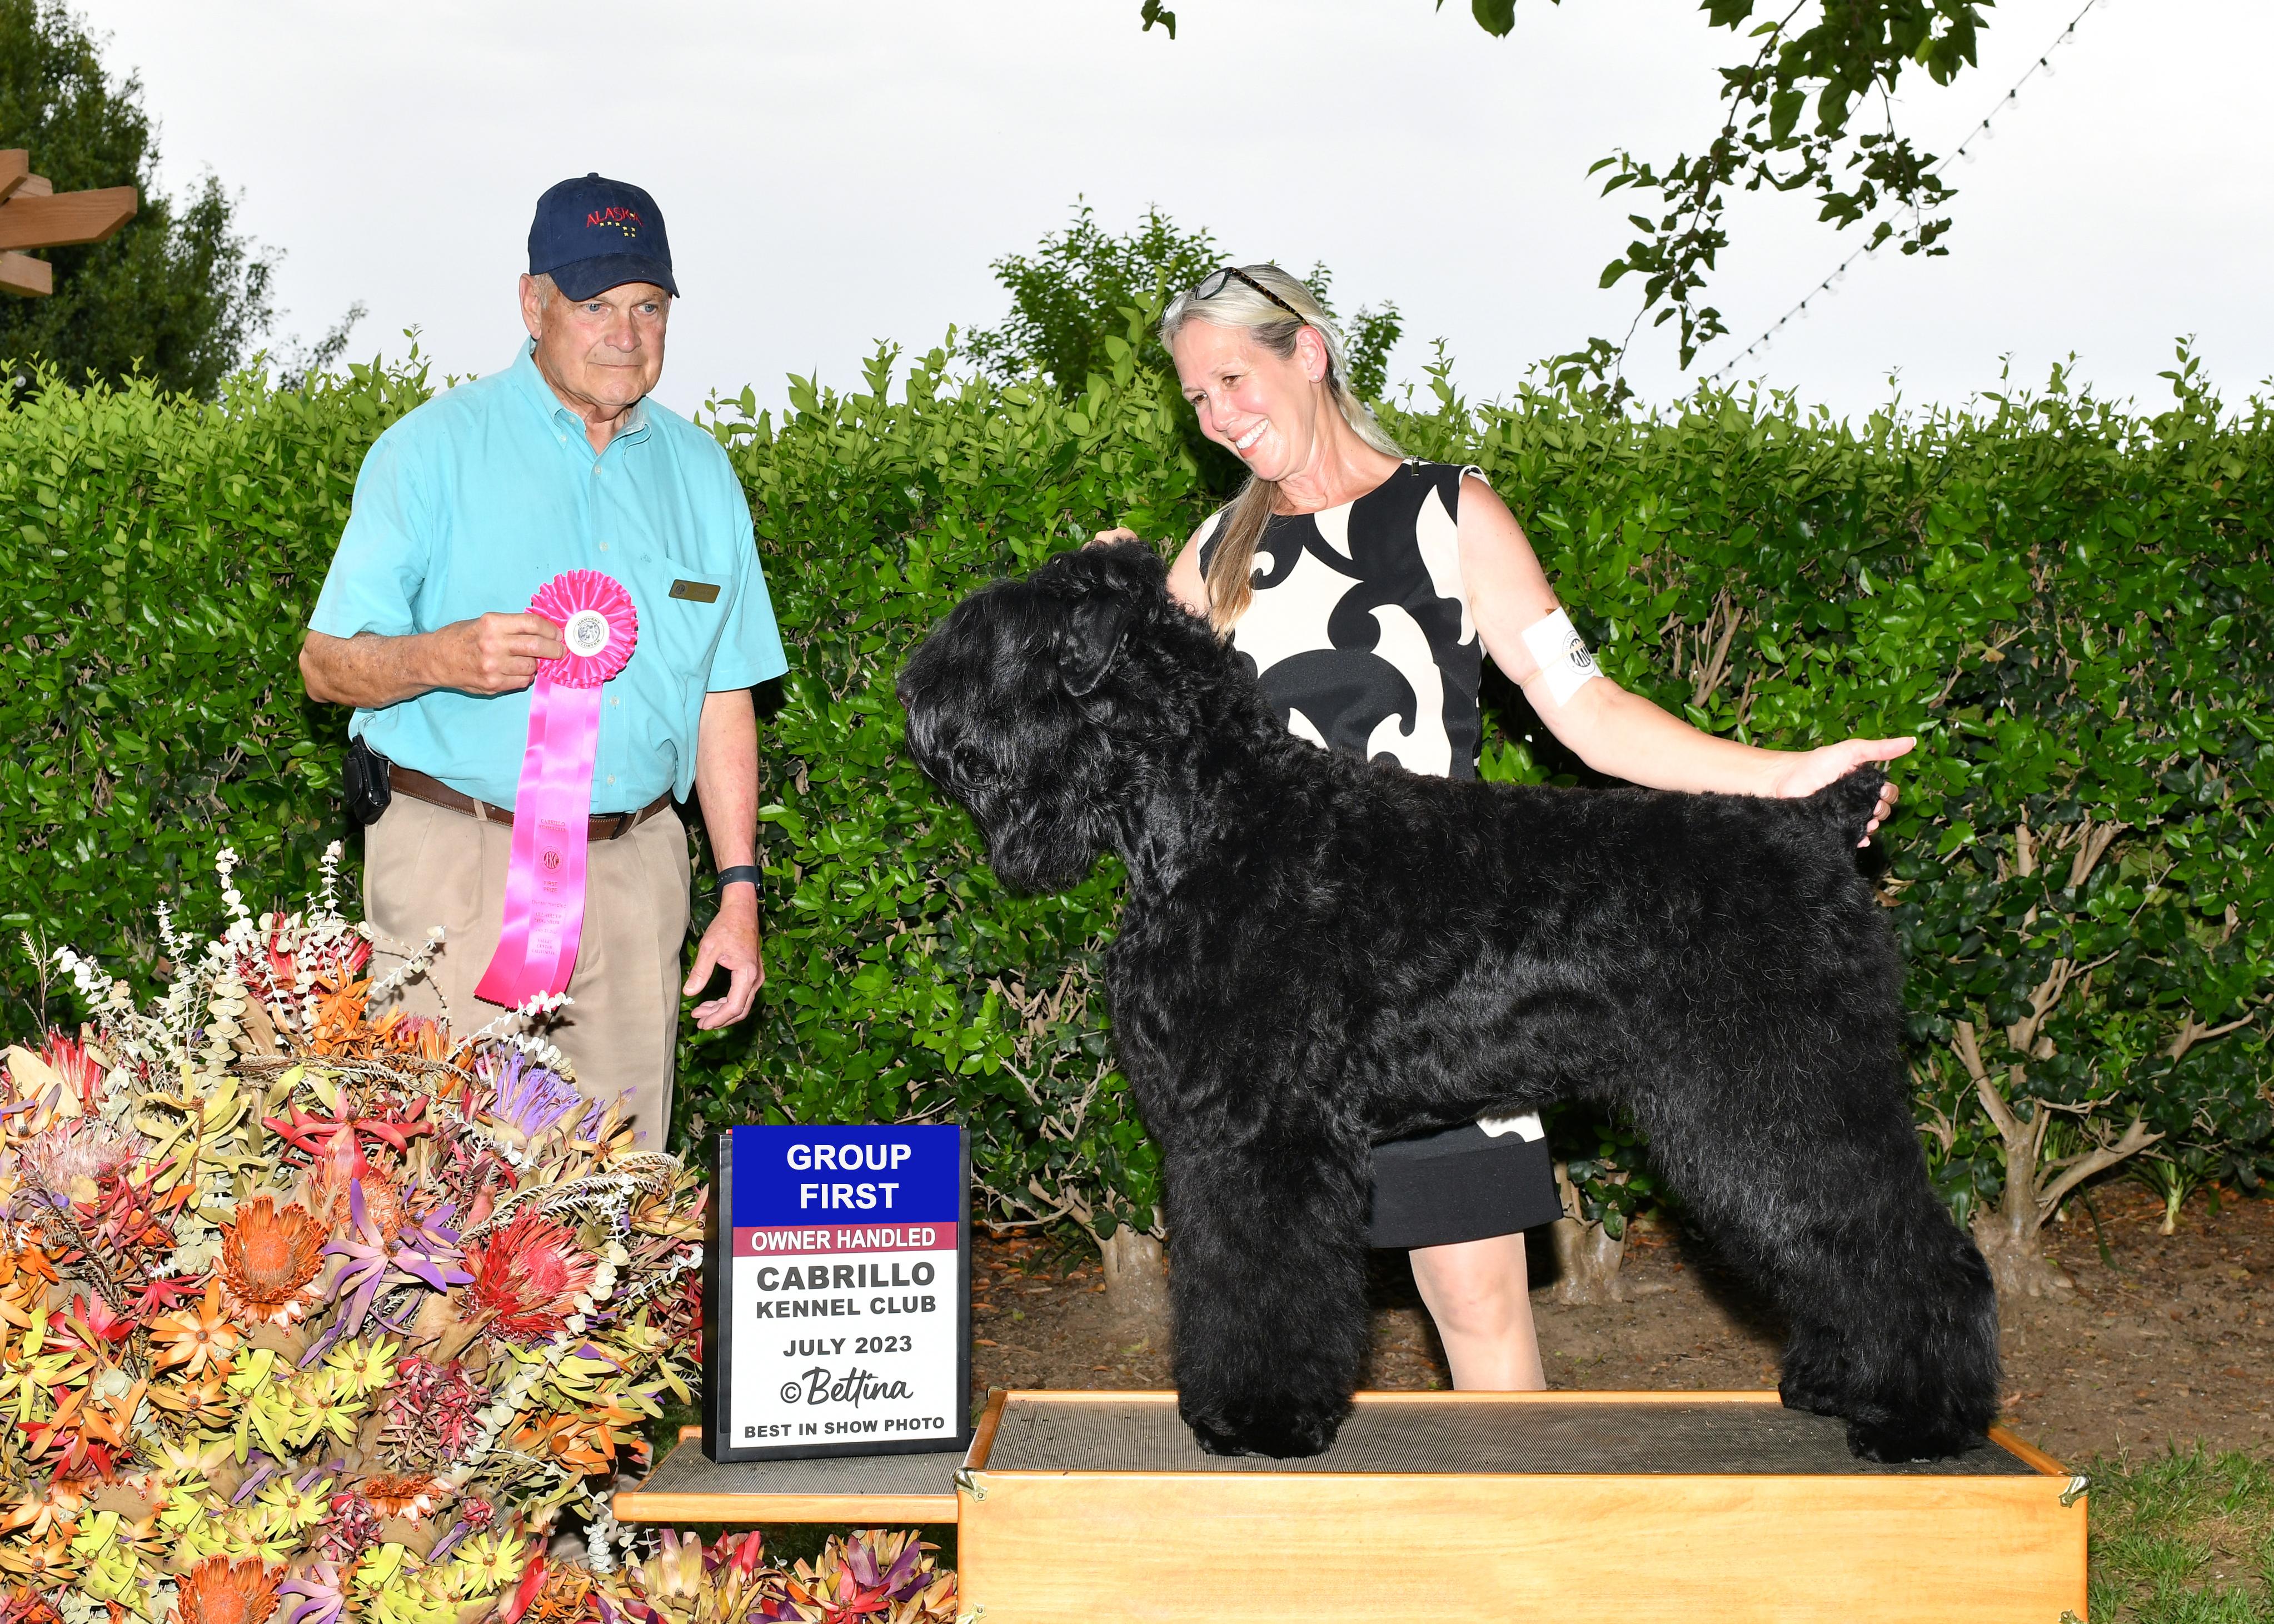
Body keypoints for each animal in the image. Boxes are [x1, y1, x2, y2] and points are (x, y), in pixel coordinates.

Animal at [897, 541, 1999, 1462]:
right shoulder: (1218, 1136)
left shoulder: (1266, 1132)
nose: (914, 692)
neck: (1217, 819)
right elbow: (1220, 1275)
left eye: (1002, 633)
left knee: (1911, 1247)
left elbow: (1266, 1278)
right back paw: (1840, 1382)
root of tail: (1818, 826)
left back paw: (1919, 1418)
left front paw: (1262, 1418)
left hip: (1784, 1095)